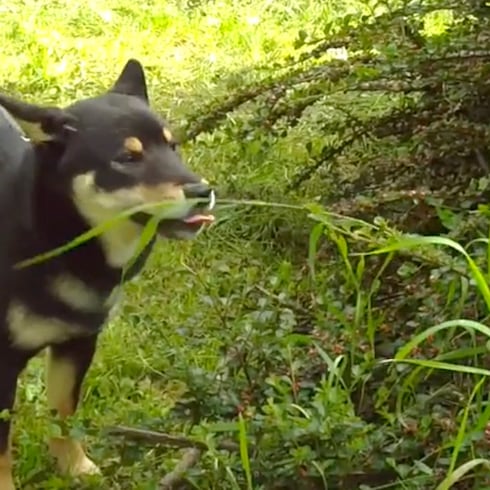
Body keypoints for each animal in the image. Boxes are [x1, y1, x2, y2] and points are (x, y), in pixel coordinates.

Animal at [0, 57, 216, 486]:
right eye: (127, 158)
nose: (202, 191)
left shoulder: (78, 343)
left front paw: (75, 467)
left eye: (172, 145)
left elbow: (63, 414)